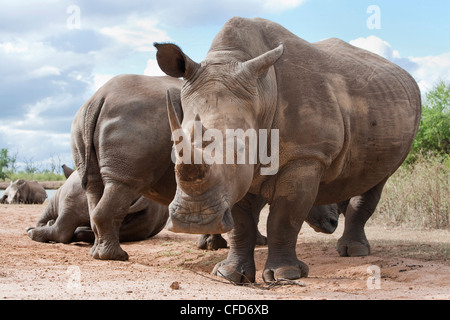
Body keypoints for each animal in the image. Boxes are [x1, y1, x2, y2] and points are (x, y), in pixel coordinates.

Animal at [156, 17, 422, 282]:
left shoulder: (305, 154)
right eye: (175, 148)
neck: (262, 92)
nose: (193, 220)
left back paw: (354, 252)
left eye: (241, 149)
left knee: (376, 179)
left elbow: (284, 217)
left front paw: (285, 275)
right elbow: (241, 224)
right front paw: (229, 274)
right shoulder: (236, 178)